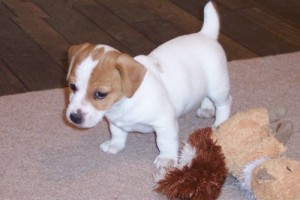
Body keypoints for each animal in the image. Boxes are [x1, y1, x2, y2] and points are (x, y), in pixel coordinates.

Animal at [66, 2, 232, 169]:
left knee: (225, 103)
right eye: (72, 86)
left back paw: (220, 124)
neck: (123, 104)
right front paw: (115, 145)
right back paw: (207, 109)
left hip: (218, 88)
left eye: (100, 94)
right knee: (206, 97)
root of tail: (206, 34)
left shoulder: (164, 122)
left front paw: (166, 159)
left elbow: (165, 142)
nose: (74, 117)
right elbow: (117, 133)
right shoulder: (114, 122)